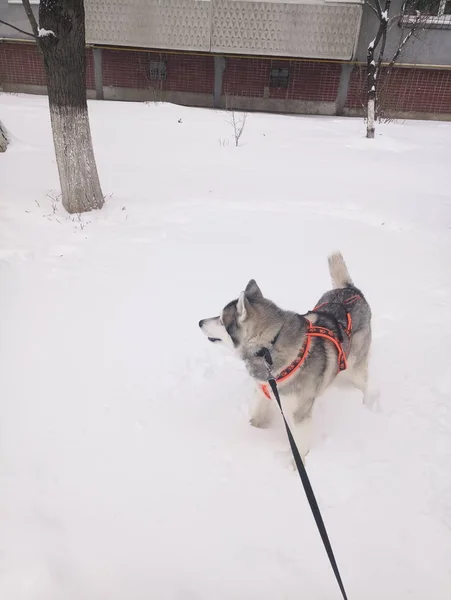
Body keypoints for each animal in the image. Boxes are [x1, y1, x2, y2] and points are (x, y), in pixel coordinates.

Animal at [198, 251, 370, 462]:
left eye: (222, 321)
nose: (199, 322)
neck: (268, 349)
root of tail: (349, 289)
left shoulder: (299, 413)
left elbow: (300, 445)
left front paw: (295, 464)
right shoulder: (262, 393)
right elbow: (256, 416)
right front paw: (251, 433)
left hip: (356, 365)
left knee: (364, 383)